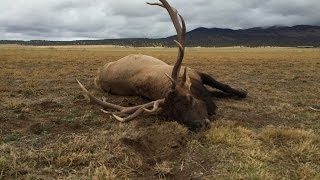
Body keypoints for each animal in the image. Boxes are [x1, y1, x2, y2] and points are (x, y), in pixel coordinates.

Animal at [76, 0, 246, 132]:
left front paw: (242, 92)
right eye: (172, 116)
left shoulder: (197, 72)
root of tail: (99, 73)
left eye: (189, 99)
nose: (198, 125)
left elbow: (223, 87)